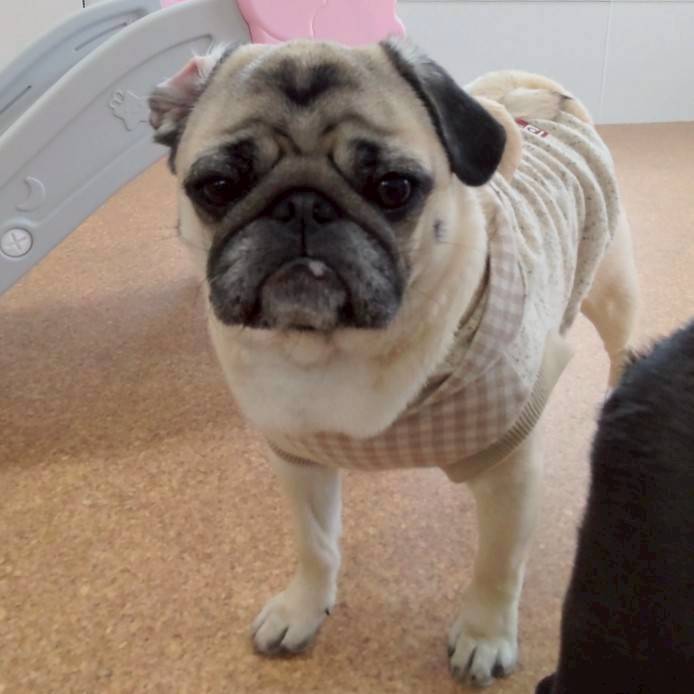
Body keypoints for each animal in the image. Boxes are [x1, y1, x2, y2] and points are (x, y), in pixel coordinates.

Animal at [148, 39, 639, 687]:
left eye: (394, 188)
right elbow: (315, 546)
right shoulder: (299, 462)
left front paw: (485, 635)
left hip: (610, 291)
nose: (301, 206)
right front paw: (305, 608)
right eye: (220, 185)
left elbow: (498, 565)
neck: (335, 348)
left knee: (618, 344)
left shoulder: (510, 471)